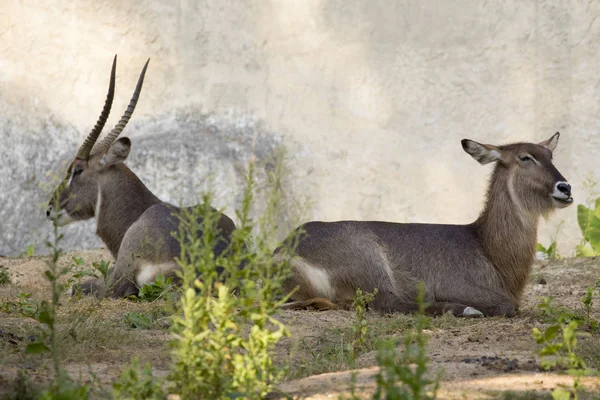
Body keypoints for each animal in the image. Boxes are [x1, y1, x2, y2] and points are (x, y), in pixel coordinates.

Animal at [280, 134, 572, 316]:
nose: (565, 187)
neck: (486, 248)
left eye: (550, 155)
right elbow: (507, 304)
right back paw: (461, 310)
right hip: (366, 258)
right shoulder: (455, 284)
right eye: (525, 157)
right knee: (388, 303)